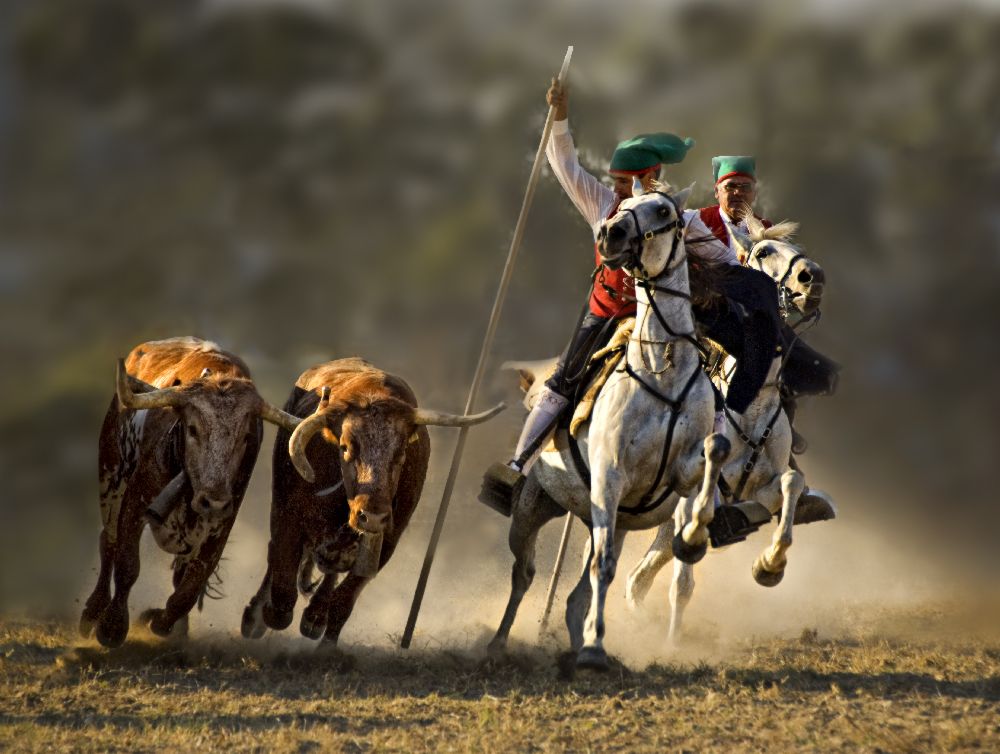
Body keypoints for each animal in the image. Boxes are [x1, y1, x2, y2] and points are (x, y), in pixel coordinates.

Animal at [80, 336, 298, 648]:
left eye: (245, 436)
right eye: (193, 429)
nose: (213, 501)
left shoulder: (221, 526)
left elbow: (189, 587)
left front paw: (161, 622)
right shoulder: (136, 501)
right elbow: (127, 564)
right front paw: (111, 627)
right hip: (111, 477)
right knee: (107, 541)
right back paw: (92, 611)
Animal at [241, 356, 504, 640]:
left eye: (401, 452)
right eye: (345, 446)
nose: (373, 517)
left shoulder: (388, 540)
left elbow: (343, 602)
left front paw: (317, 620)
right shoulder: (288, 519)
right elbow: (282, 595)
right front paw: (261, 615)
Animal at [488, 188, 732, 668]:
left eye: (663, 210)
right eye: (624, 206)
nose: (611, 233)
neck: (660, 371)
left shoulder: (678, 473)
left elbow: (715, 448)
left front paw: (694, 536)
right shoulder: (609, 477)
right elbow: (603, 568)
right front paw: (594, 650)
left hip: (604, 518)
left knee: (574, 595)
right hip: (532, 511)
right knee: (525, 574)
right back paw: (499, 643)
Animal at [624, 216, 836, 640]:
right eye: (764, 252)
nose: (813, 277)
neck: (749, 411)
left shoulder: (769, 485)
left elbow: (791, 486)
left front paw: (769, 565)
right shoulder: (693, 495)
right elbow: (683, 580)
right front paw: (672, 641)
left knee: (643, 572)